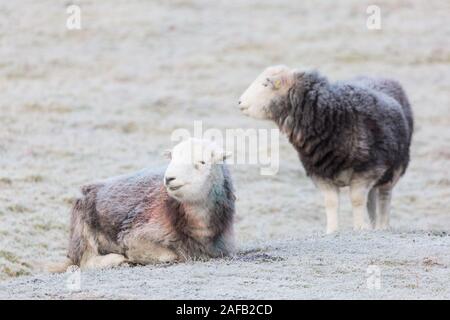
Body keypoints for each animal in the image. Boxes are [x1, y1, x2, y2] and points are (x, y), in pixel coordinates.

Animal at [237, 66, 414, 234]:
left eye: (265, 84)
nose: (239, 102)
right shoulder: (319, 172)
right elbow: (331, 202)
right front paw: (332, 230)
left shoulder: (368, 168)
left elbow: (356, 199)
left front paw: (359, 228)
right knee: (371, 198)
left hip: (394, 169)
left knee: (384, 196)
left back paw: (382, 226)